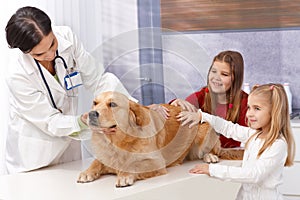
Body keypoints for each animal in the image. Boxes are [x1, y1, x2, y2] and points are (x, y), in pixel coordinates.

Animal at [77, 91, 244, 187]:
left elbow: (133, 165)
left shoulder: (156, 162)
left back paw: (210, 156)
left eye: (112, 104)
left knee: (214, 149)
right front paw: (87, 172)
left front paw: (124, 175)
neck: (119, 141)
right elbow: (96, 162)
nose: (91, 114)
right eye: (95, 103)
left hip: (206, 127)